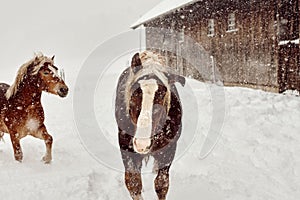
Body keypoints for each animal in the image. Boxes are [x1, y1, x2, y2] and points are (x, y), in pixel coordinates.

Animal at [115, 51, 184, 198]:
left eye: (161, 98)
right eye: (133, 98)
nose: (142, 144)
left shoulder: (169, 149)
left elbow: (161, 184)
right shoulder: (126, 148)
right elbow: (133, 183)